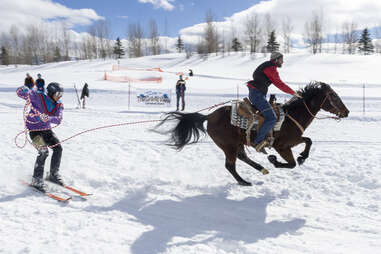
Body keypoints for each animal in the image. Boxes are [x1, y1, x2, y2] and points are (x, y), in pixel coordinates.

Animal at [153, 82, 348, 186]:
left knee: (241, 157)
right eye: (334, 96)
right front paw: (275, 161)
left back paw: (261, 169)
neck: (291, 116)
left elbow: (308, 140)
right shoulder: (282, 146)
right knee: (230, 165)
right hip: (228, 145)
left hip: (236, 143)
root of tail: (209, 116)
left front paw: (302, 157)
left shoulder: (293, 140)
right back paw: (244, 181)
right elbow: (291, 163)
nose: (347, 112)